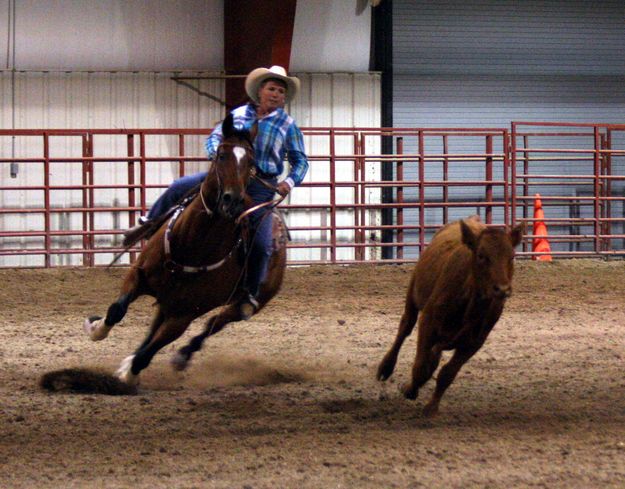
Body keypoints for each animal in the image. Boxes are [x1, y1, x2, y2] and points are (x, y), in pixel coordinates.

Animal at [83, 115, 288, 386]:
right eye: (221, 155)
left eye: (251, 162)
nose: (232, 201)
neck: (192, 245)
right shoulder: (138, 275)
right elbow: (117, 310)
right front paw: (96, 329)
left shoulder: (184, 315)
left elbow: (149, 353)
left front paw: (129, 373)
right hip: (168, 301)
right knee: (156, 328)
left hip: (253, 300)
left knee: (215, 323)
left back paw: (181, 356)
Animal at [378, 216, 524, 416]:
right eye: (481, 255)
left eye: (512, 256)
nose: (502, 289)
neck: (470, 305)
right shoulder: (428, 323)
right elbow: (420, 367)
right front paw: (409, 389)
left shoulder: (474, 342)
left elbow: (447, 373)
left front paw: (431, 407)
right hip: (413, 294)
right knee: (405, 328)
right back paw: (385, 367)